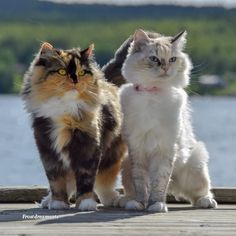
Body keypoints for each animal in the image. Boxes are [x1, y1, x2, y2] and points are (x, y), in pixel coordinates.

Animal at [21, 42, 126, 210]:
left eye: (81, 72)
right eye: (62, 71)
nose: (75, 80)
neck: (66, 110)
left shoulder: (88, 147)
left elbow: (86, 179)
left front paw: (86, 203)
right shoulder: (48, 149)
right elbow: (56, 181)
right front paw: (58, 203)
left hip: (111, 153)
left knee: (104, 181)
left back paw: (112, 199)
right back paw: (47, 201)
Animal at [119, 29, 217, 212]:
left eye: (172, 59)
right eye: (154, 59)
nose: (165, 67)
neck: (153, 92)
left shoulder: (165, 148)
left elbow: (159, 182)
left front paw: (156, 205)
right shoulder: (137, 148)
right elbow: (141, 183)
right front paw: (140, 204)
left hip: (195, 163)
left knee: (199, 193)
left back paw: (206, 202)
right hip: (126, 164)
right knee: (131, 190)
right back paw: (126, 201)